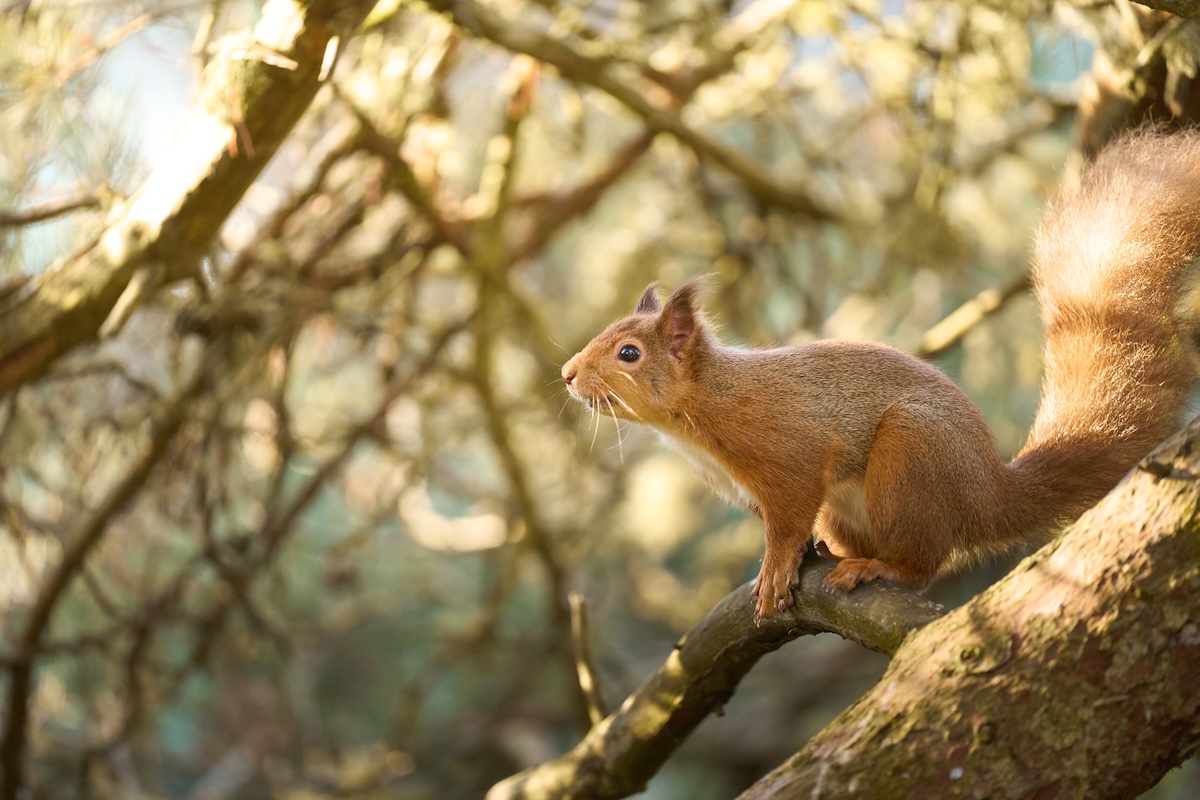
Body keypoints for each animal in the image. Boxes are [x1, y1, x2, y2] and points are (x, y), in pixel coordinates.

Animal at [559, 131, 1200, 623]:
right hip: (853, 506)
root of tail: (989, 493)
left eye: (629, 354)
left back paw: (877, 568)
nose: (566, 374)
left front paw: (773, 570)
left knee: (921, 566)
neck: (705, 405)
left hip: (911, 457)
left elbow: (786, 521)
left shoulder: (788, 454)